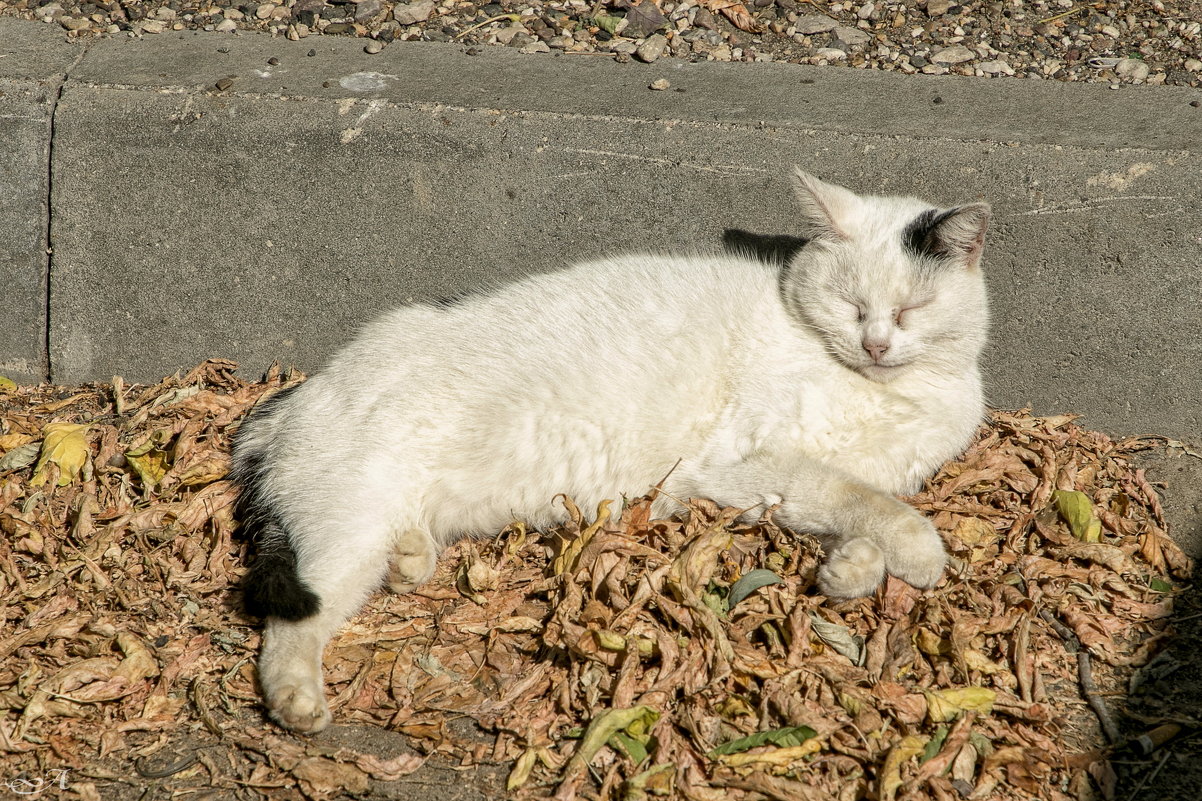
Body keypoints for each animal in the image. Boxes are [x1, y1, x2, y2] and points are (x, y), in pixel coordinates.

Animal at [229, 169, 990, 731]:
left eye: (912, 311)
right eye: (851, 305)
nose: (877, 344)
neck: (889, 391)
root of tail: (293, 400)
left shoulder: (765, 486)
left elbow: (850, 508)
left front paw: (849, 570)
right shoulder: (740, 464)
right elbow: (866, 500)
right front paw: (915, 552)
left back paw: (412, 557)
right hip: (346, 530)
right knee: (288, 626)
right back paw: (298, 703)